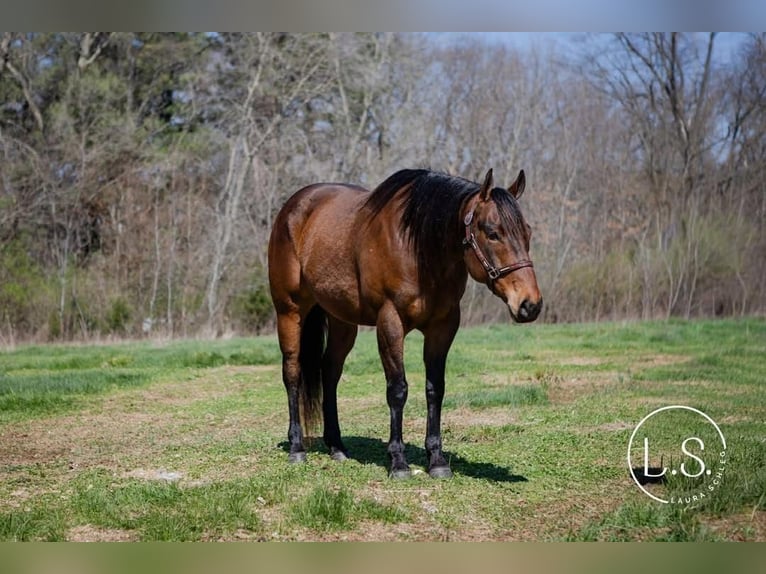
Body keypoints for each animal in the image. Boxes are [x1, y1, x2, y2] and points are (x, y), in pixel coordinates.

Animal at [267, 168, 542, 479]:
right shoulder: (390, 322)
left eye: (527, 232)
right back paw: (297, 447)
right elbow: (397, 389)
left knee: (330, 373)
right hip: (289, 311)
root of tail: (293, 207)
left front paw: (437, 460)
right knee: (292, 373)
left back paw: (336, 446)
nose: (530, 304)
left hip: (341, 320)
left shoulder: (443, 327)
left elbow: (435, 389)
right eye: (493, 233)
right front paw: (398, 461)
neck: (418, 249)